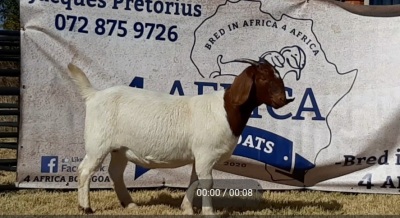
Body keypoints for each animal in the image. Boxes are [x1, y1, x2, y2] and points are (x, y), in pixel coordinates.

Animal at [66, 58, 294, 216]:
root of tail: (94, 95)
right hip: (98, 143)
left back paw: (129, 204)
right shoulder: (206, 154)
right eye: (263, 77)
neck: (226, 110)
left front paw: (187, 209)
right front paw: (209, 213)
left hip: (119, 149)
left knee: (115, 172)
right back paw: (86, 208)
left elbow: (193, 181)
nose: (283, 100)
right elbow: (206, 183)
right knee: (85, 171)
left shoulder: (198, 156)